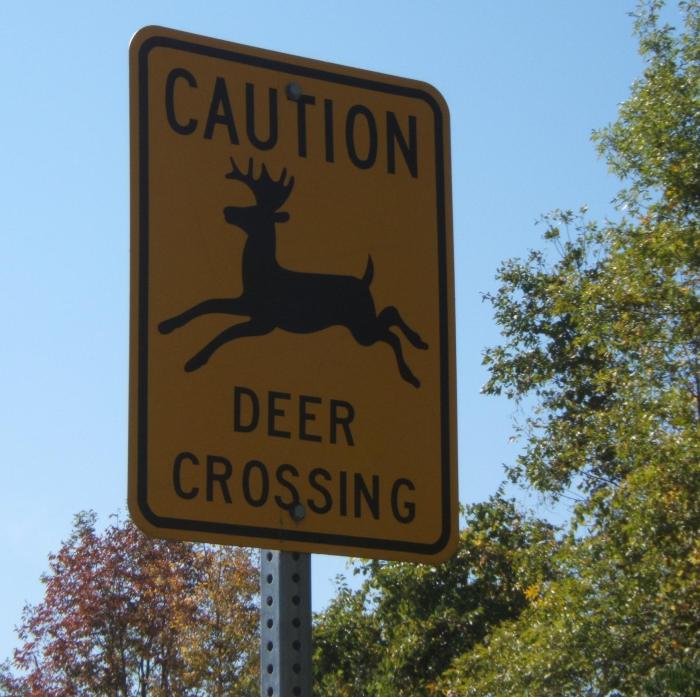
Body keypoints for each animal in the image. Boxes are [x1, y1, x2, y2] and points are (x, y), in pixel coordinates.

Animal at [158, 158, 428, 387]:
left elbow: (227, 331)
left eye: (256, 211)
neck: (262, 276)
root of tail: (365, 281)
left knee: (390, 330)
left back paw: (412, 372)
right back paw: (419, 345)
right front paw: (166, 325)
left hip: (361, 326)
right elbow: (207, 303)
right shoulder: (246, 302)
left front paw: (193, 361)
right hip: (362, 322)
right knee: (390, 315)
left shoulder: (266, 320)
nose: (228, 210)